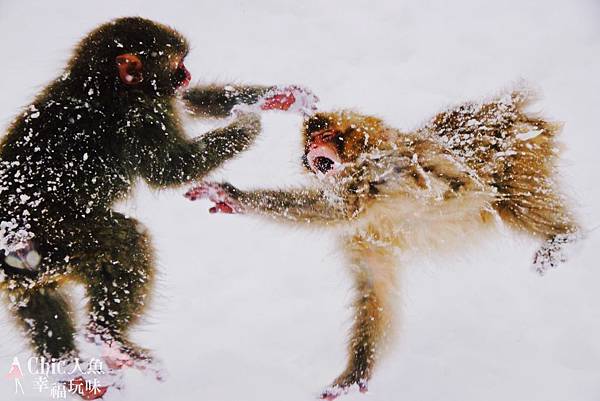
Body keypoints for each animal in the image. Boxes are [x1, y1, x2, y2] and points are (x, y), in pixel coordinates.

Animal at [0, 14, 318, 396]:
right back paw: (107, 338)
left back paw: (70, 370)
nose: (188, 75)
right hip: (60, 236)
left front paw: (275, 98)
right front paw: (246, 126)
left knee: (34, 298)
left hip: (29, 268)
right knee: (128, 241)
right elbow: (169, 170)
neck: (101, 86)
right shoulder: (141, 118)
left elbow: (189, 103)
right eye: (178, 65)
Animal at [185, 89, 580, 398]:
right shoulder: (362, 237)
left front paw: (234, 195)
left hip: (520, 156)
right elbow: (374, 288)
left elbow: (350, 204)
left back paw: (566, 237)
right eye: (311, 141)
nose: (314, 149)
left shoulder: (382, 170)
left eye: (329, 134)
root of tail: (509, 110)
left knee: (514, 200)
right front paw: (357, 371)